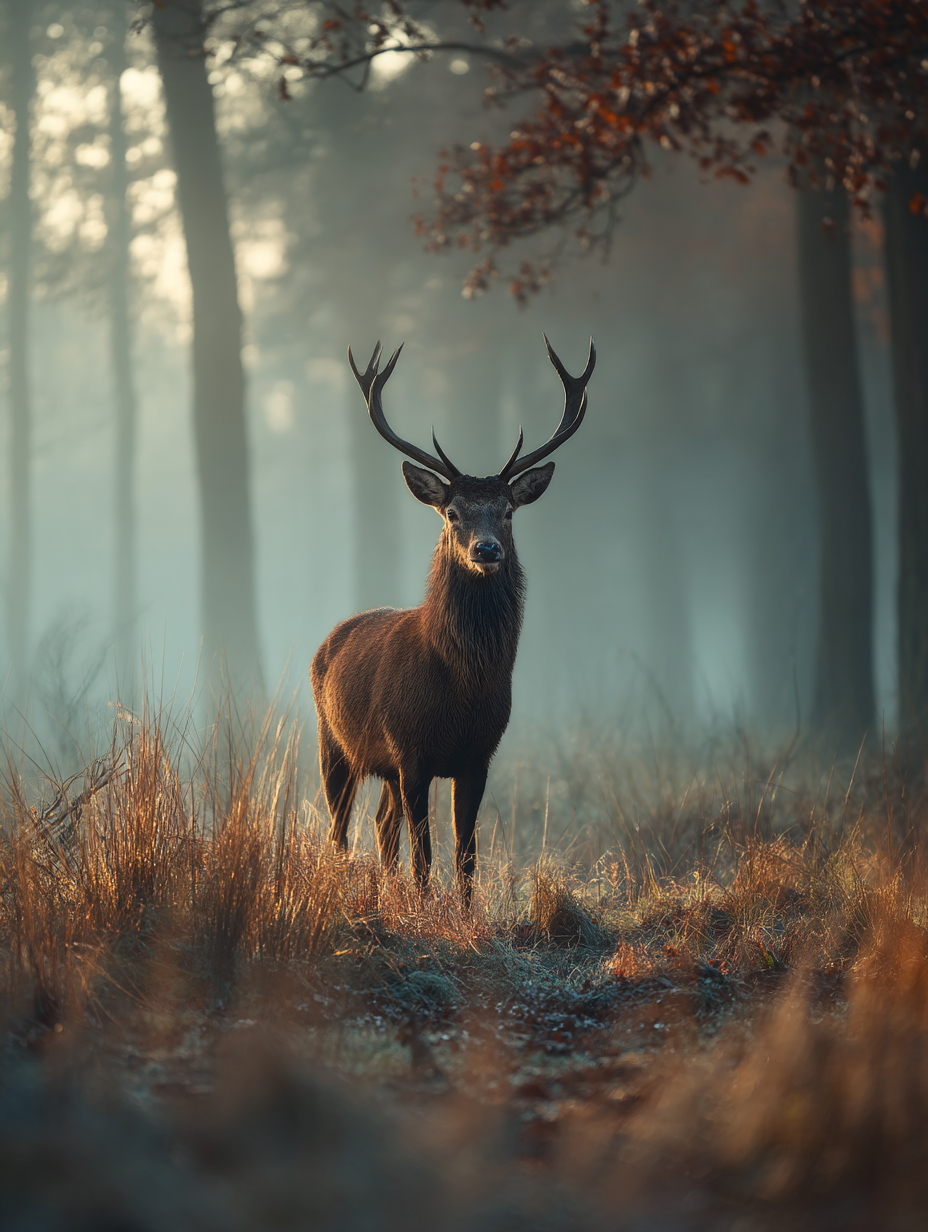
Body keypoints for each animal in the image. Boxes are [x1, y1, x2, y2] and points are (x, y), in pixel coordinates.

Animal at [311, 336, 595, 903]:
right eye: (453, 512)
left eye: (507, 511)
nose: (486, 550)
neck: (462, 688)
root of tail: (329, 640)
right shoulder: (410, 748)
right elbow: (424, 852)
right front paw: (425, 908)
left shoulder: (479, 754)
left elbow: (466, 851)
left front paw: (463, 912)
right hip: (332, 742)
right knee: (340, 829)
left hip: (382, 768)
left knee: (382, 823)